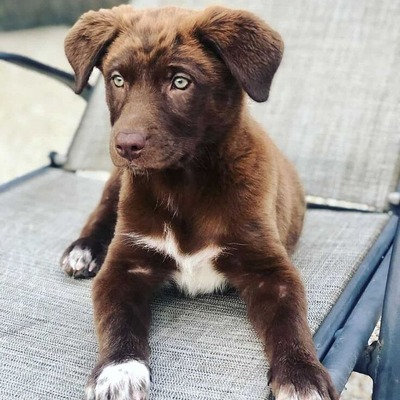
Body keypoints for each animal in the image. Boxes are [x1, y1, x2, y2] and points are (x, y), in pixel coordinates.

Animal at [61, 3, 338, 400]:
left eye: (180, 82)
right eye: (117, 80)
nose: (126, 146)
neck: (183, 185)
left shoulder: (271, 270)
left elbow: (290, 322)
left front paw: (301, 376)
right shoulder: (126, 266)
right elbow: (117, 320)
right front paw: (119, 370)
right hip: (118, 183)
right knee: (102, 211)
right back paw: (83, 250)